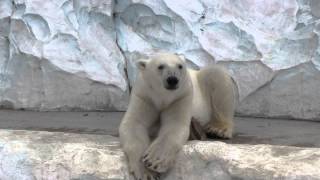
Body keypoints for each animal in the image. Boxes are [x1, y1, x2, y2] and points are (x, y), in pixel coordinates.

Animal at [119, 52, 234, 180]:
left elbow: (175, 125)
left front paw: (154, 160)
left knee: (216, 74)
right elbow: (134, 124)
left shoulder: (181, 96)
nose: (172, 80)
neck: (163, 97)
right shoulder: (144, 96)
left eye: (180, 66)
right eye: (160, 66)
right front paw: (146, 172)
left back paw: (217, 129)